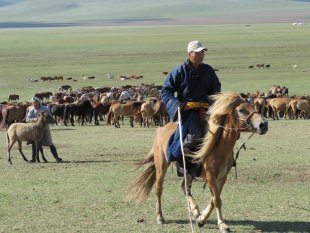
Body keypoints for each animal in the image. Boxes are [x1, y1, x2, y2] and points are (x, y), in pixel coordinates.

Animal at [127, 93, 268, 233]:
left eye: (253, 105)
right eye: (241, 110)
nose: (263, 124)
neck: (219, 146)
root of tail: (161, 129)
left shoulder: (222, 176)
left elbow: (214, 199)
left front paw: (201, 219)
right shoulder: (210, 175)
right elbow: (217, 199)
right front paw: (222, 224)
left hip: (188, 172)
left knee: (184, 187)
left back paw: (195, 211)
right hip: (161, 165)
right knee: (159, 189)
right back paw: (160, 217)